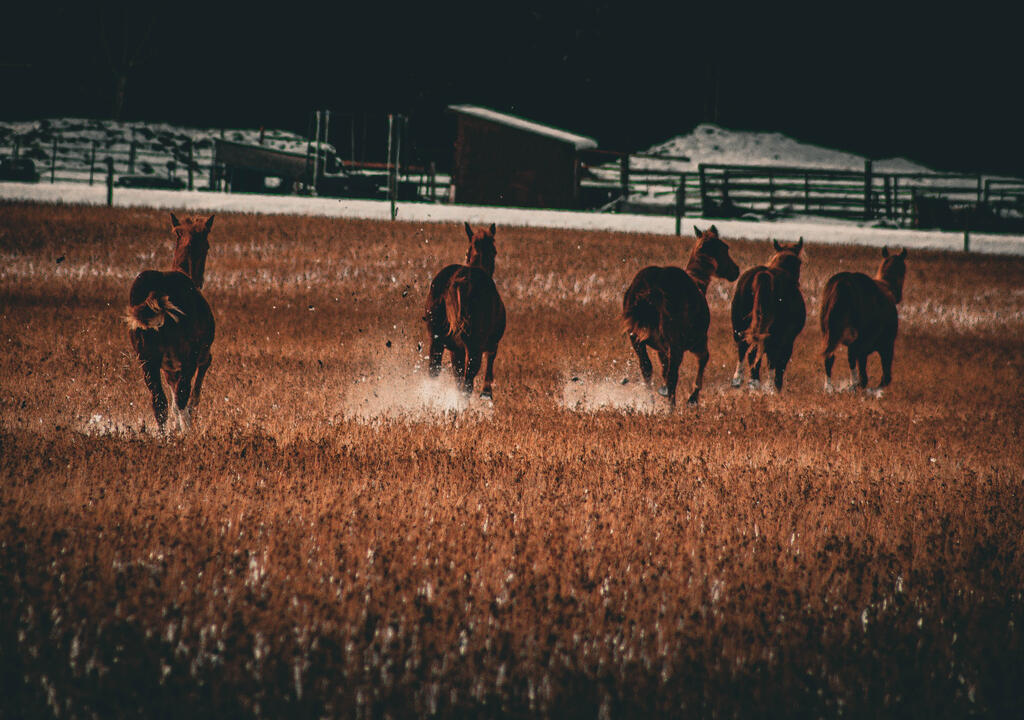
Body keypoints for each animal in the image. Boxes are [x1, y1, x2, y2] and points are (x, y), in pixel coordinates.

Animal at [126, 213, 215, 432]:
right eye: (207, 246)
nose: (201, 280)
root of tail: (156, 291)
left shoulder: (169, 367)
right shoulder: (200, 355)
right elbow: (192, 392)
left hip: (146, 358)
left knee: (159, 401)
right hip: (187, 356)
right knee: (181, 397)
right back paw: (186, 430)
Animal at [423, 222, 507, 398]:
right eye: (495, 251)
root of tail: (460, 280)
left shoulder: (457, 351)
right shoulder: (491, 344)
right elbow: (490, 361)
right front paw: (486, 392)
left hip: (436, 341)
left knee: (434, 374)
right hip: (474, 349)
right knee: (467, 385)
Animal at [622, 225, 740, 407]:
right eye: (725, 248)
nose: (736, 271)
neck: (699, 284)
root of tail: (652, 288)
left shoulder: (662, 349)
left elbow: (662, 370)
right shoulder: (697, 342)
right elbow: (703, 360)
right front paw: (693, 398)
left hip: (636, 338)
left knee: (647, 368)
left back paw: (651, 402)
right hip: (676, 343)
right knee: (673, 375)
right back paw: (672, 406)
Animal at [730, 238, 806, 392]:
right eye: (799, 262)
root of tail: (764, 275)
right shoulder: (788, 339)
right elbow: (779, 362)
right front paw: (776, 387)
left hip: (741, 326)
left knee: (744, 348)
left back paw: (741, 380)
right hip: (774, 333)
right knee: (768, 355)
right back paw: (767, 385)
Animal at [820, 246, 907, 395]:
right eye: (903, 270)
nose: (899, 296)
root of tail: (843, 282)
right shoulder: (886, 344)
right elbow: (885, 377)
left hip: (829, 332)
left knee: (830, 357)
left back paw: (829, 387)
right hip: (860, 339)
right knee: (854, 362)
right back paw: (853, 386)